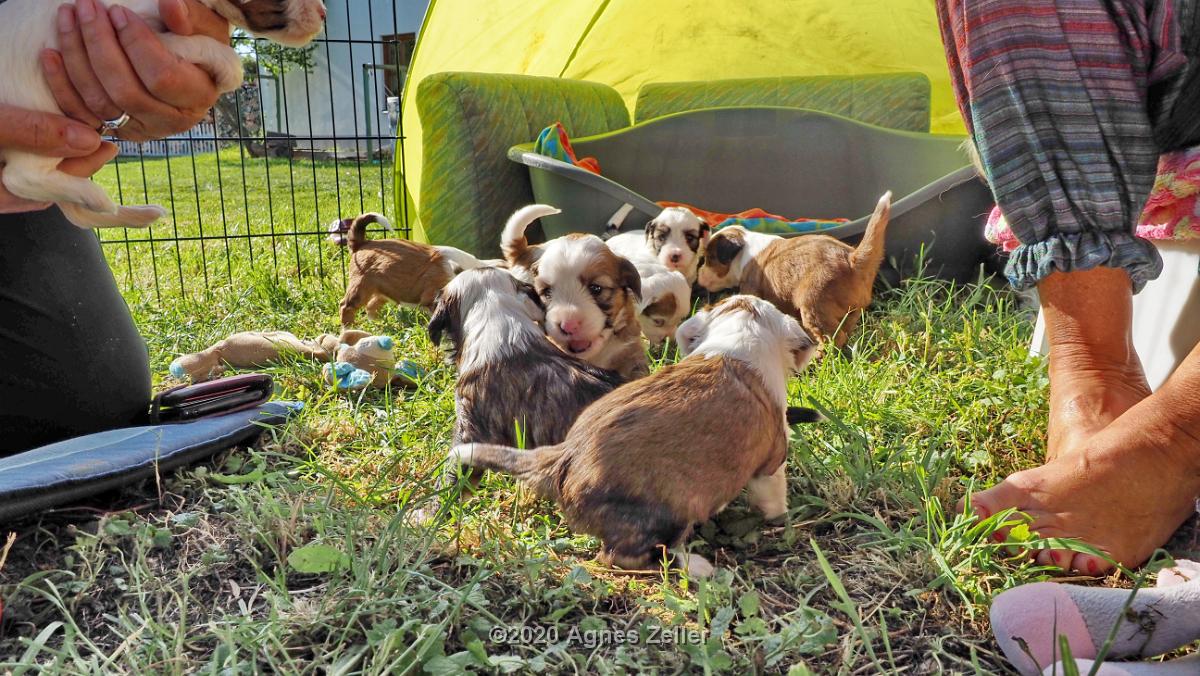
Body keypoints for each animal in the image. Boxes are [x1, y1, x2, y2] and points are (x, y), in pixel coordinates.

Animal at [0, 0, 328, 230]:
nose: (324, 13)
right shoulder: (136, 32)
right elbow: (196, 44)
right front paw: (230, 68)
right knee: (18, 177)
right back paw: (97, 197)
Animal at [336, 212, 489, 326]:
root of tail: (362, 243)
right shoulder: (433, 297)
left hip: (382, 290)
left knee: (371, 306)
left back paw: (378, 325)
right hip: (361, 286)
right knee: (346, 306)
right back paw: (349, 328)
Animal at [441, 295, 816, 576]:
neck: (738, 339)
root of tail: (561, 456)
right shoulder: (771, 462)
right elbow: (773, 495)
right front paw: (781, 518)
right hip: (664, 513)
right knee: (622, 557)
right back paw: (694, 565)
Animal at [696, 190, 892, 348]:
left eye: (709, 259)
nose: (699, 276)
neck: (745, 247)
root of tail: (852, 259)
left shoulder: (751, 288)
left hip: (813, 303)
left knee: (832, 337)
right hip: (852, 312)